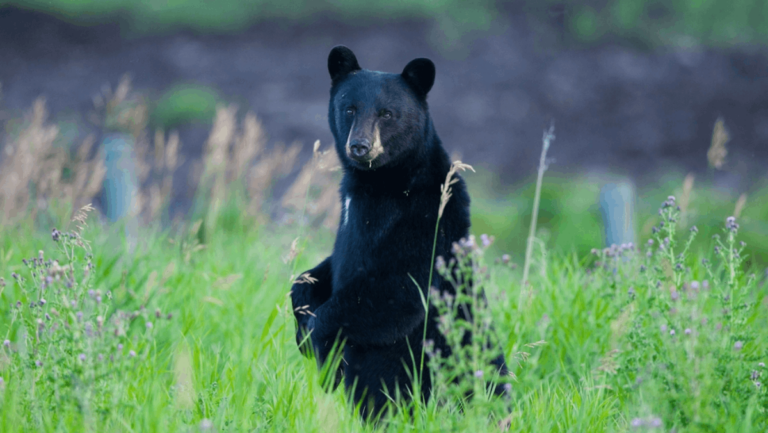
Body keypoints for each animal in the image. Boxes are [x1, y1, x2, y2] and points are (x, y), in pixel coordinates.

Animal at [290, 45, 508, 420]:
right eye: (349, 108)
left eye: (387, 113)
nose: (360, 146)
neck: (380, 182)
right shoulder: (348, 213)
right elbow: (321, 270)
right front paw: (301, 316)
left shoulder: (423, 217)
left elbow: (396, 288)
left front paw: (322, 349)